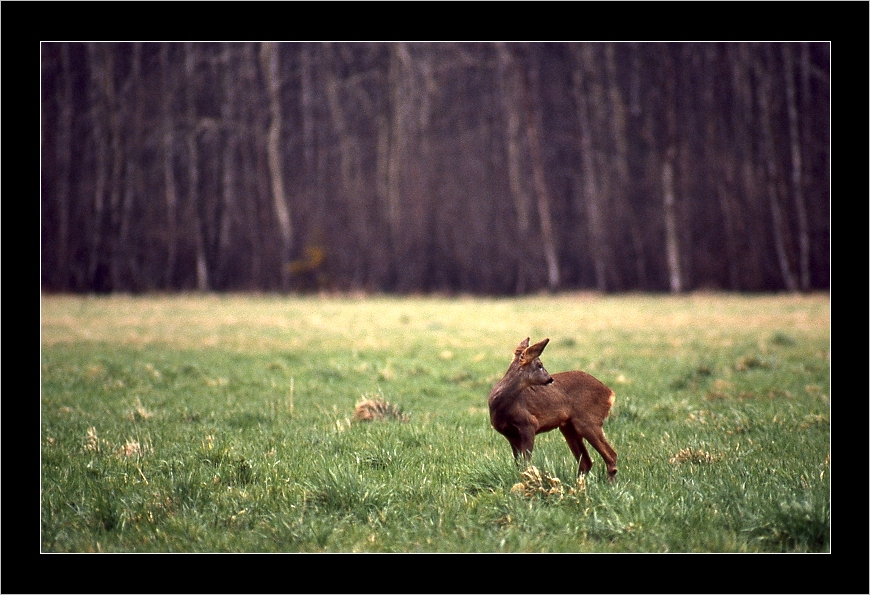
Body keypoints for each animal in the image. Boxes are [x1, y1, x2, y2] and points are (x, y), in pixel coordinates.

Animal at [490, 338, 620, 482]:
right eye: (539, 365)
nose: (550, 379)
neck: (502, 408)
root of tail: (610, 393)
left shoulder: (528, 424)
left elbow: (526, 462)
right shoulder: (510, 435)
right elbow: (518, 463)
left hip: (588, 420)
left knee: (611, 455)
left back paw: (609, 484)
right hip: (568, 427)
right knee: (586, 461)